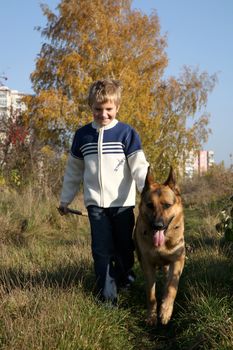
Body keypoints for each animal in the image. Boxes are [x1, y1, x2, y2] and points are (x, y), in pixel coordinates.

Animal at [134, 167, 185, 326]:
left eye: (167, 205)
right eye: (150, 205)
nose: (158, 226)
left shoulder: (178, 261)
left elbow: (172, 287)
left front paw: (166, 310)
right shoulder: (148, 266)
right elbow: (151, 295)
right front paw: (151, 316)